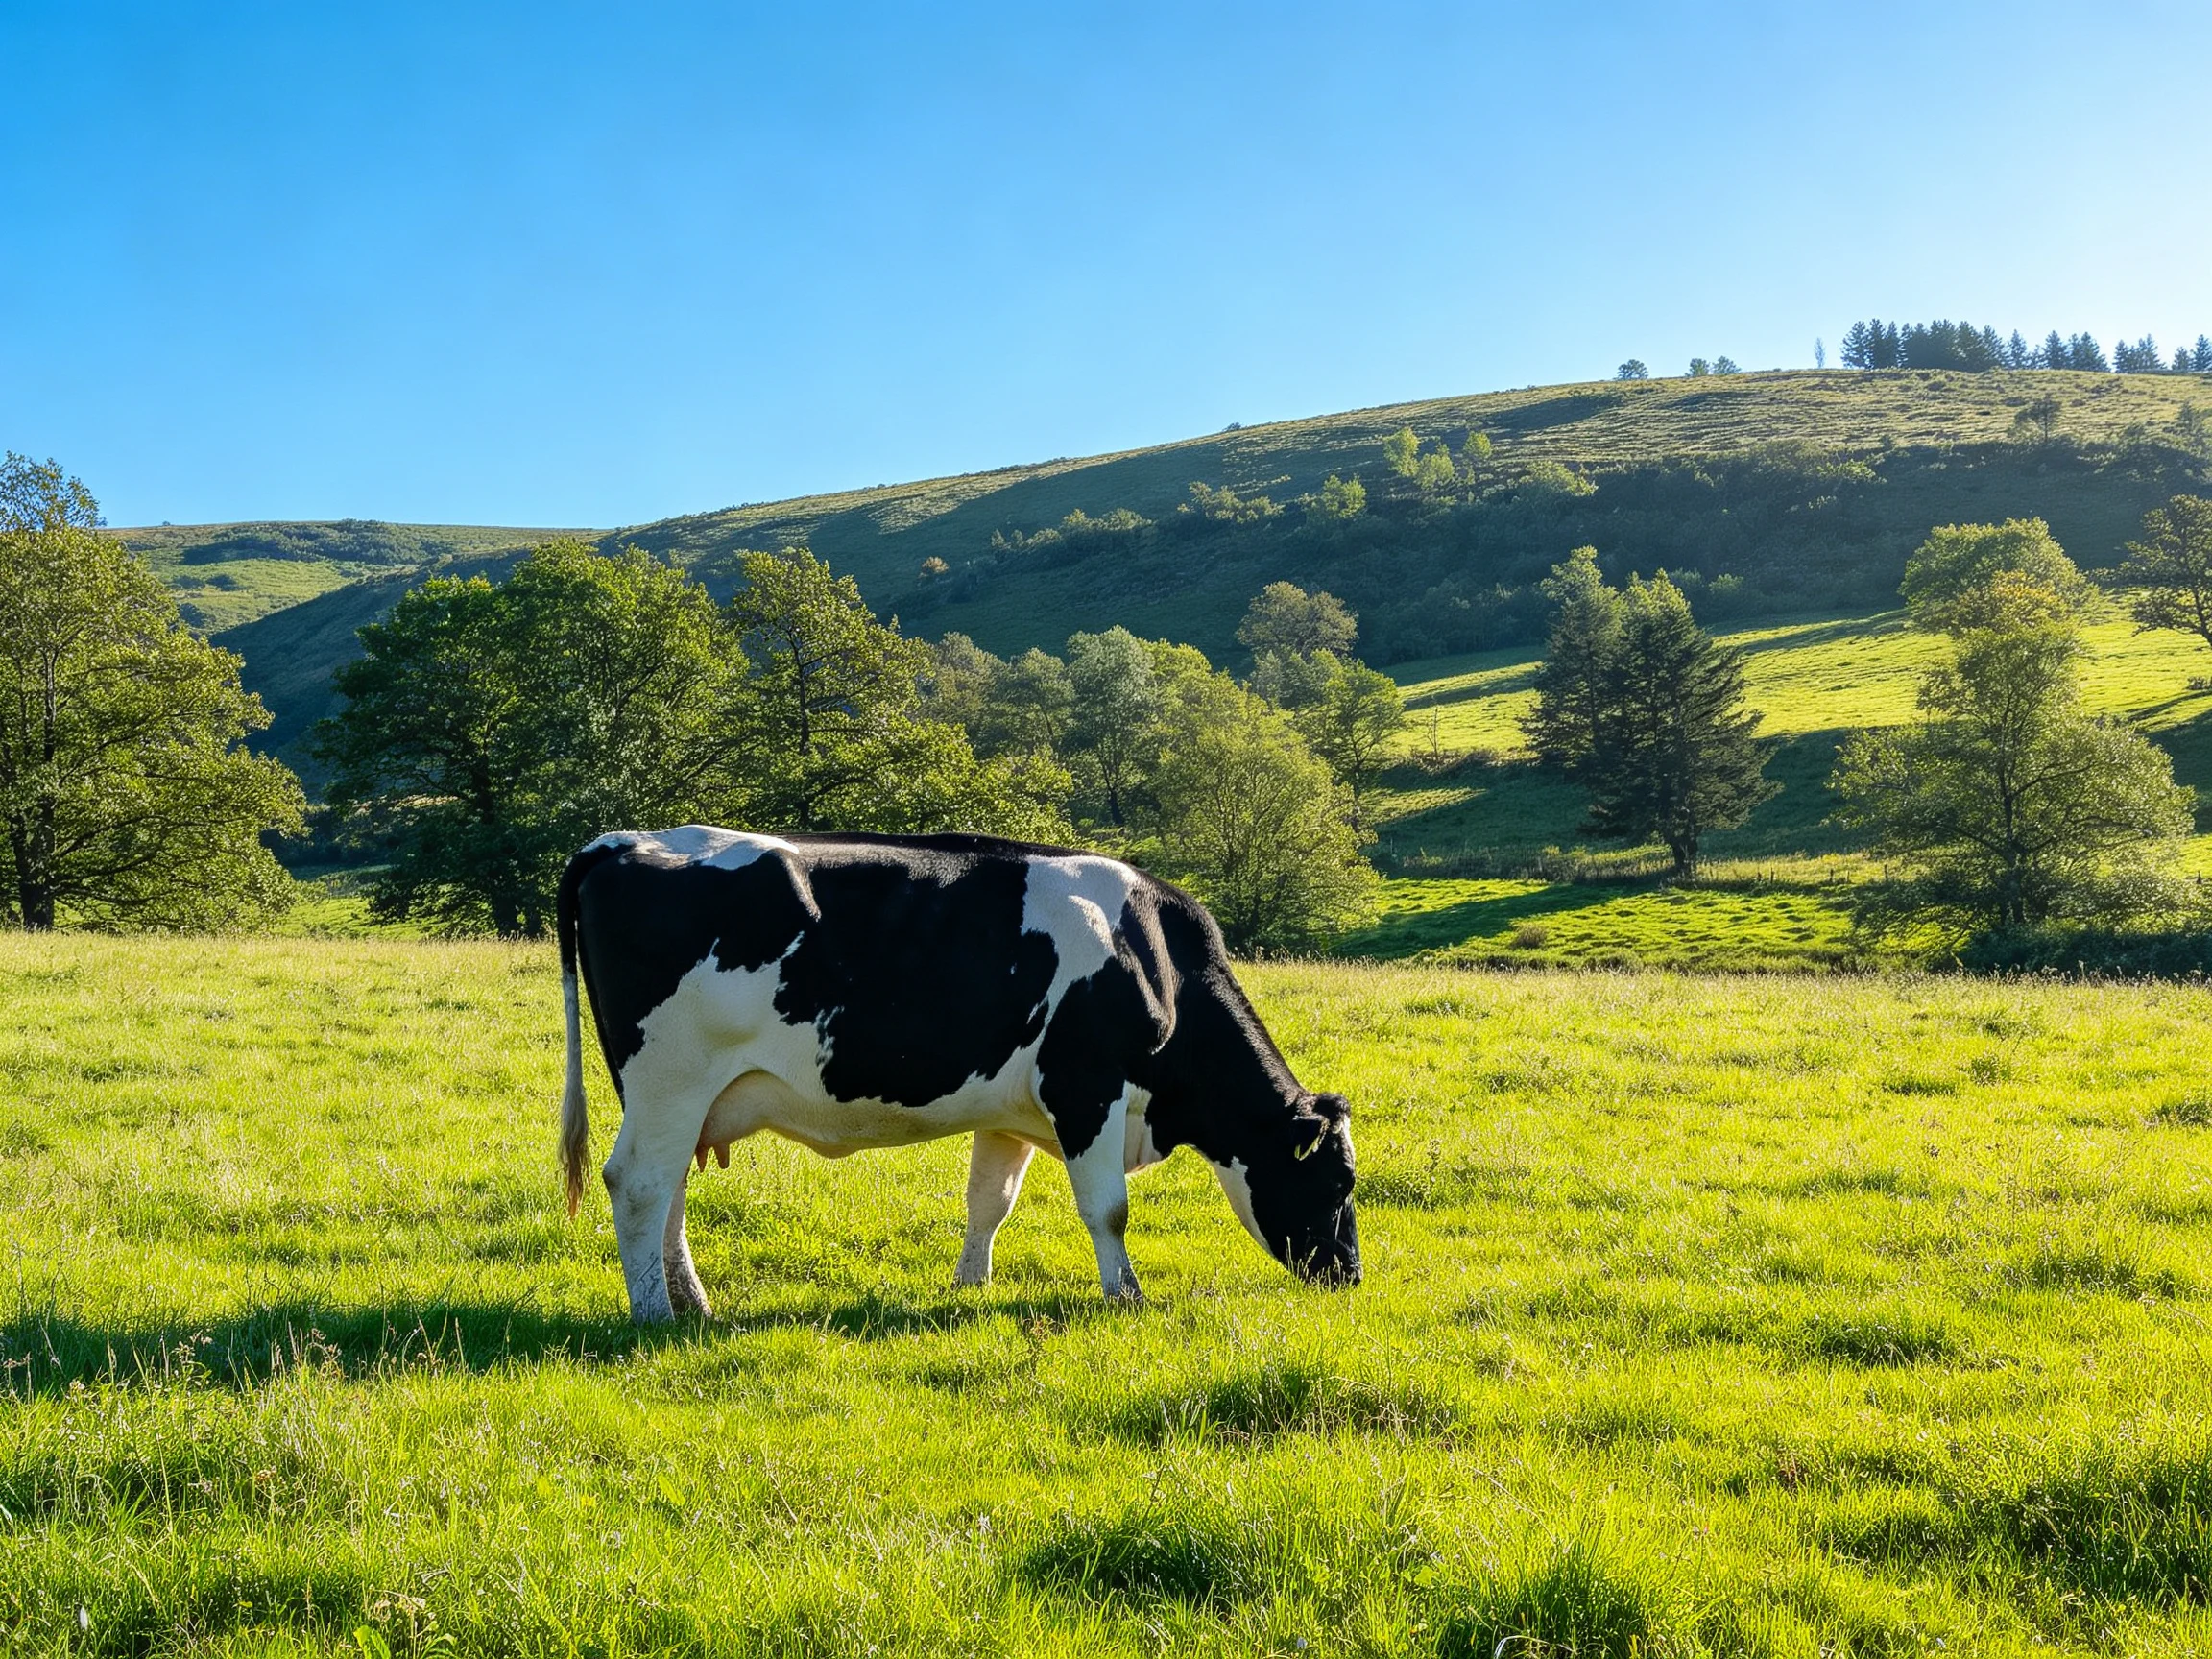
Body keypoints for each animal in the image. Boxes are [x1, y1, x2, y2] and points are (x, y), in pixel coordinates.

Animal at [556, 825, 1360, 1322]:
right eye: (1337, 1182)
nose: (1352, 1277)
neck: (1156, 961)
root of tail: (622, 841)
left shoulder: (1014, 1113)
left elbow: (989, 1203)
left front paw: (970, 1289)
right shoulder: (1086, 1090)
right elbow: (1108, 1209)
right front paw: (1125, 1295)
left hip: (679, 1098)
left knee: (669, 1193)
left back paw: (692, 1302)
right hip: (671, 1079)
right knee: (639, 1184)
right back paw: (655, 1314)